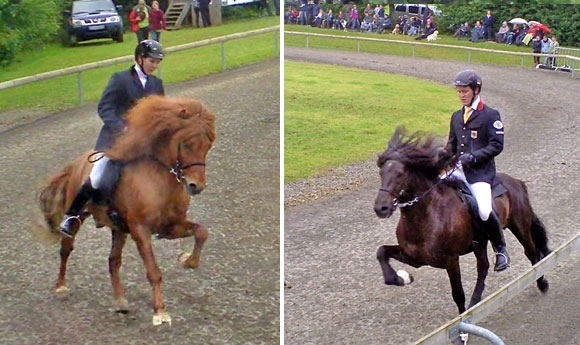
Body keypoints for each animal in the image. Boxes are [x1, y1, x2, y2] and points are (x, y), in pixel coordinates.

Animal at [37, 94, 216, 326]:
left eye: (208, 145)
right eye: (186, 144)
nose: (196, 186)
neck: (161, 179)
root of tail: (78, 162)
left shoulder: (169, 227)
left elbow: (202, 232)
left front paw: (186, 261)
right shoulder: (141, 229)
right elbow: (153, 271)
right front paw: (160, 312)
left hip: (119, 228)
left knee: (113, 261)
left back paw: (120, 302)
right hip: (78, 217)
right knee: (66, 249)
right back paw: (60, 287)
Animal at [374, 127, 552, 314]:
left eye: (401, 174)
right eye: (381, 173)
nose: (380, 208)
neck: (426, 217)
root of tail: (516, 182)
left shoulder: (451, 260)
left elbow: (458, 294)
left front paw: (463, 321)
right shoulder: (414, 258)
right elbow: (381, 252)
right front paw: (402, 278)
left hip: (519, 226)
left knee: (531, 253)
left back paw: (541, 283)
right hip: (480, 243)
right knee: (483, 268)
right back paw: (475, 304)